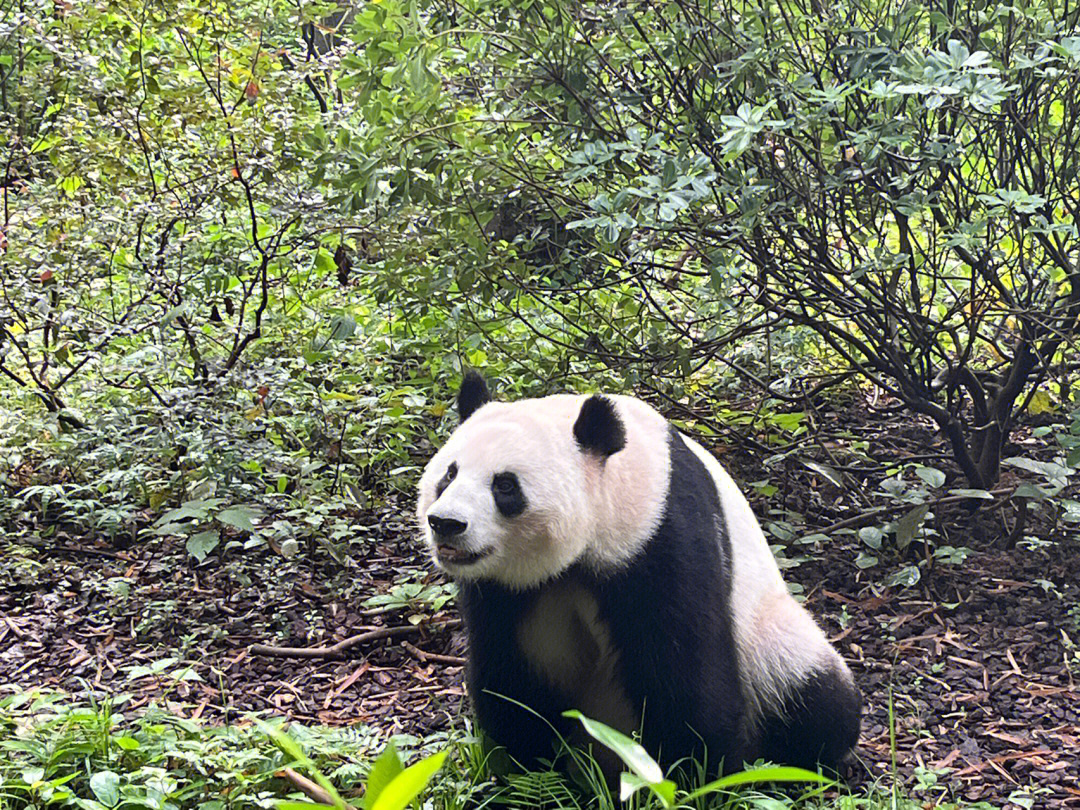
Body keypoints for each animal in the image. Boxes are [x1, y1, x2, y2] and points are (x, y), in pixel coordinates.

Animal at [412, 373, 859, 781]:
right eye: (449, 475)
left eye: (505, 486)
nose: (446, 523)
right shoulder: (509, 591)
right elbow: (516, 678)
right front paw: (528, 772)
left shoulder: (658, 533)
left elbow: (684, 674)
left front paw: (695, 776)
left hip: (768, 641)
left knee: (810, 691)